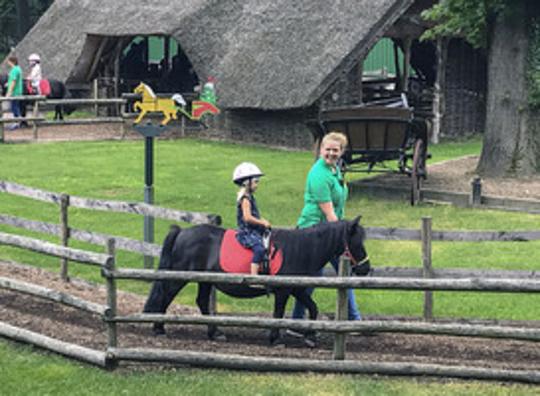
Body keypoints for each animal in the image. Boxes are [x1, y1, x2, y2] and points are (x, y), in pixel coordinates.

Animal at [143, 217, 372, 346]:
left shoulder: (295, 288)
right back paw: (159, 328)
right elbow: (278, 313)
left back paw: (215, 333)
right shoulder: (283, 291)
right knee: (165, 297)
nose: (366, 268)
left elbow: (313, 307)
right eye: (357, 242)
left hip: (205, 281)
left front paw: (311, 336)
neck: (300, 248)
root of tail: (181, 232)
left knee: (201, 302)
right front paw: (276, 338)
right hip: (180, 277)